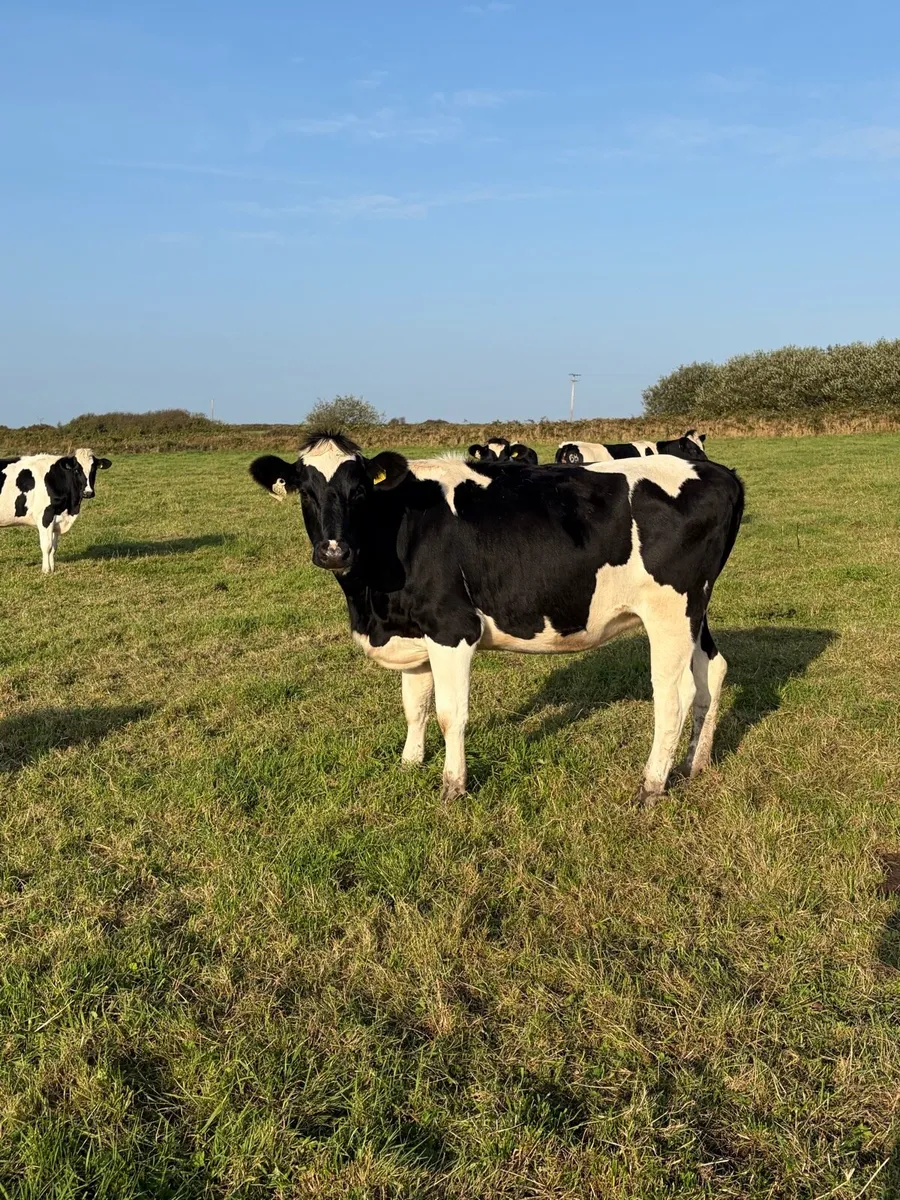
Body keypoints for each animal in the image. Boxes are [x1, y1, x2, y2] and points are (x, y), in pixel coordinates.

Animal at [250, 432, 743, 807]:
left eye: (359, 493)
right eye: (307, 492)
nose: (334, 551)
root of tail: (719, 471)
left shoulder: (451, 628)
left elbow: (450, 713)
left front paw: (452, 787)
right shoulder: (413, 631)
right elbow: (414, 705)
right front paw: (409, 764)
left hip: (670, 611)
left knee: (673, 696)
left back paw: (652, 785)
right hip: (695, 608)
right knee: (712, 673)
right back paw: (695, 763)